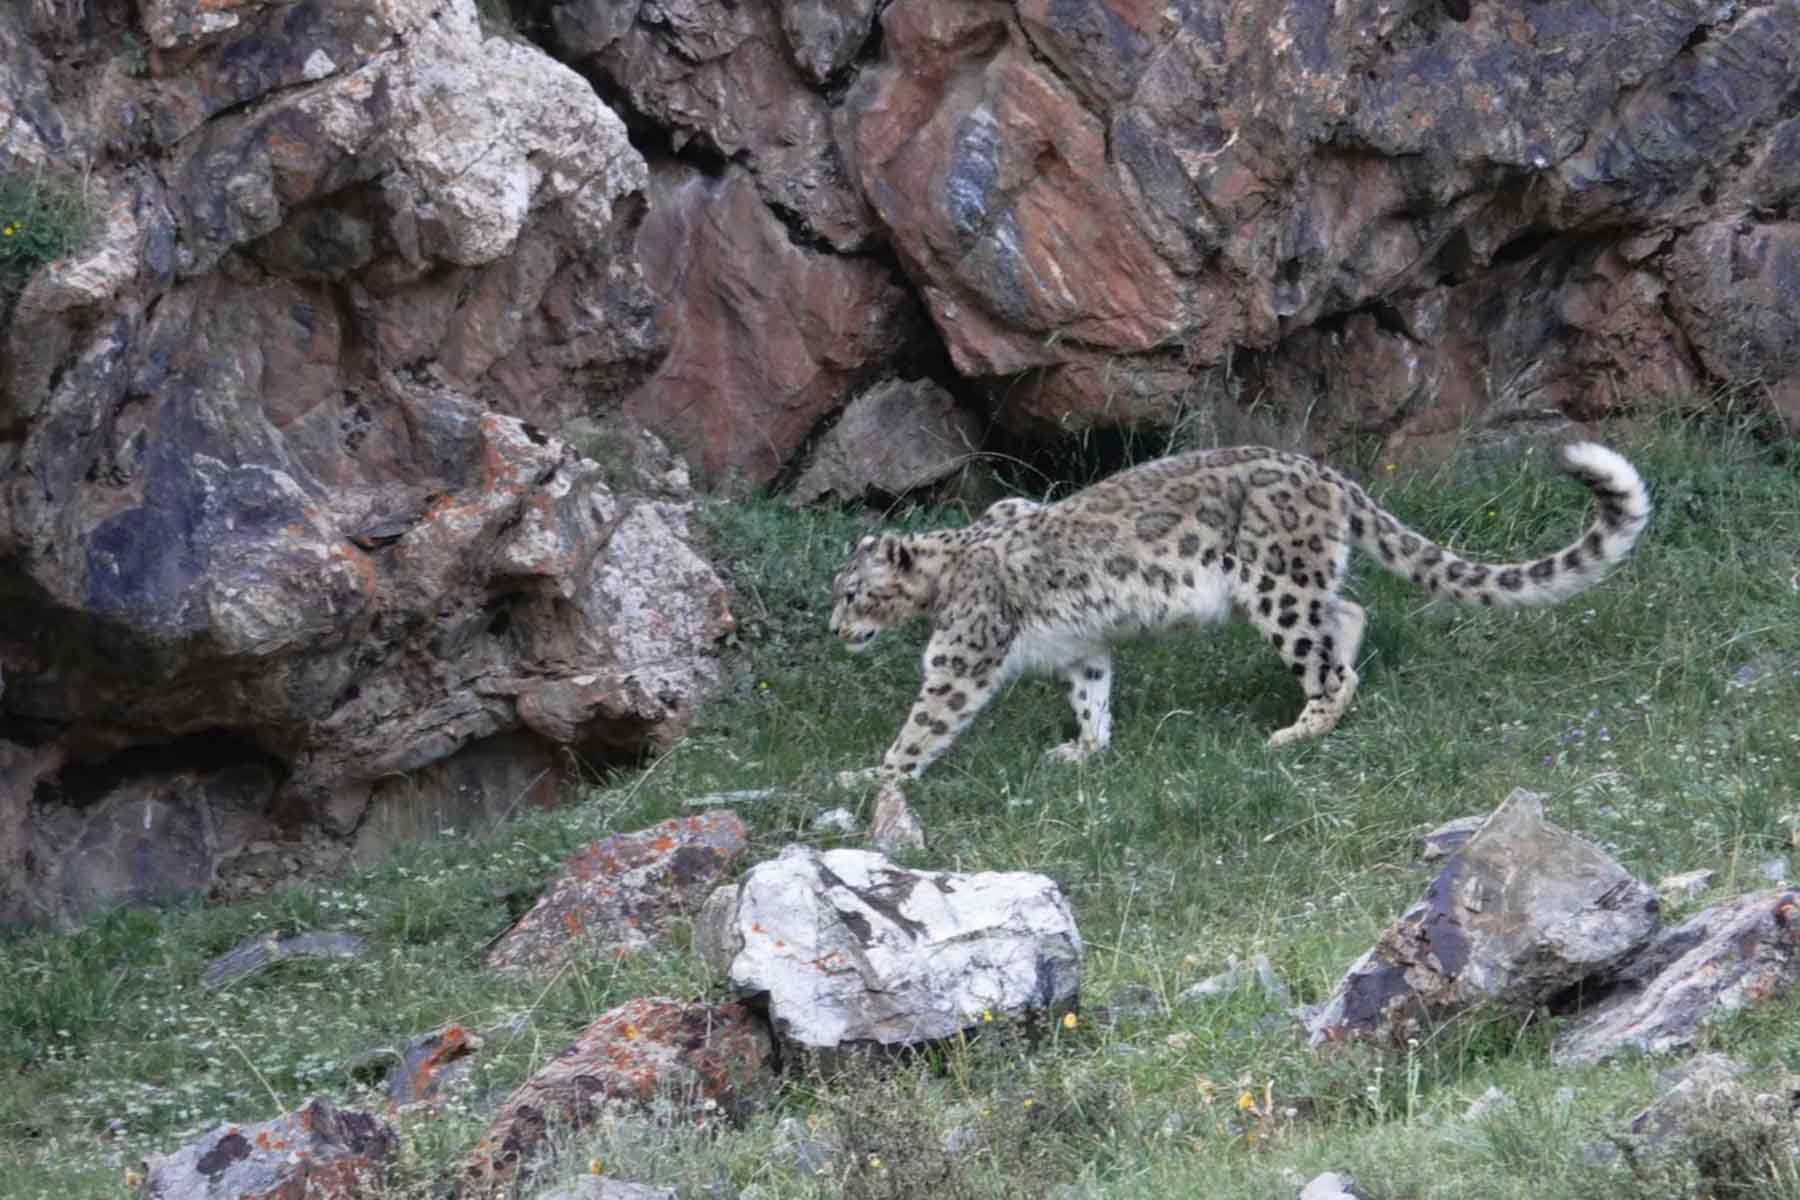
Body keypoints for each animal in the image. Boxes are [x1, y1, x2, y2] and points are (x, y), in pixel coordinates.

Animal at [828, 442, 1651, 786]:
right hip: (1301, 580)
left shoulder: (960, 657)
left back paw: (1298, 729)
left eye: (852, 591)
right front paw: (1086, 749)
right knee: (1348, 612)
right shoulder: (1081, 645)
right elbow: (1092, 691)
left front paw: (872, 776)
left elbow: (925, 722)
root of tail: (1326, 474)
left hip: (1275, 583)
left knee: (1327, 658)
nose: (835, 631)